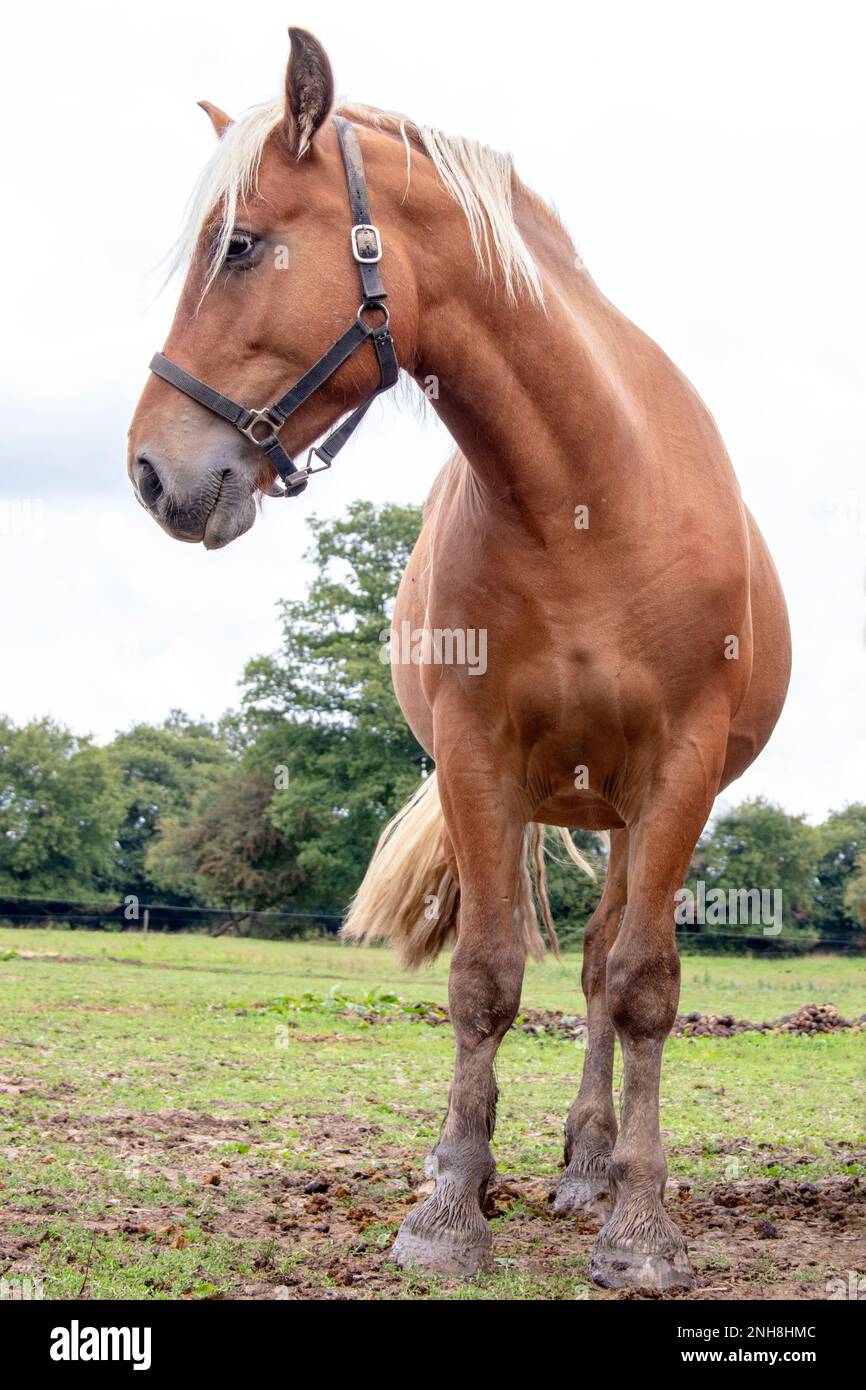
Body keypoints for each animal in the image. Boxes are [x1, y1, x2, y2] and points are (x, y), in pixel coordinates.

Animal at [128, 27, 791, 1289]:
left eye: (239, 245)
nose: (151, 470)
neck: (585, 494)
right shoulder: (479, 760)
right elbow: (481, 980)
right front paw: (446, 1211)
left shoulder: (675, 772)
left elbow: (640, 988)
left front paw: (640, 1226)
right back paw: (490, 1164)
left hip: (624, 812)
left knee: (600, 969)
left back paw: (588, 1166)